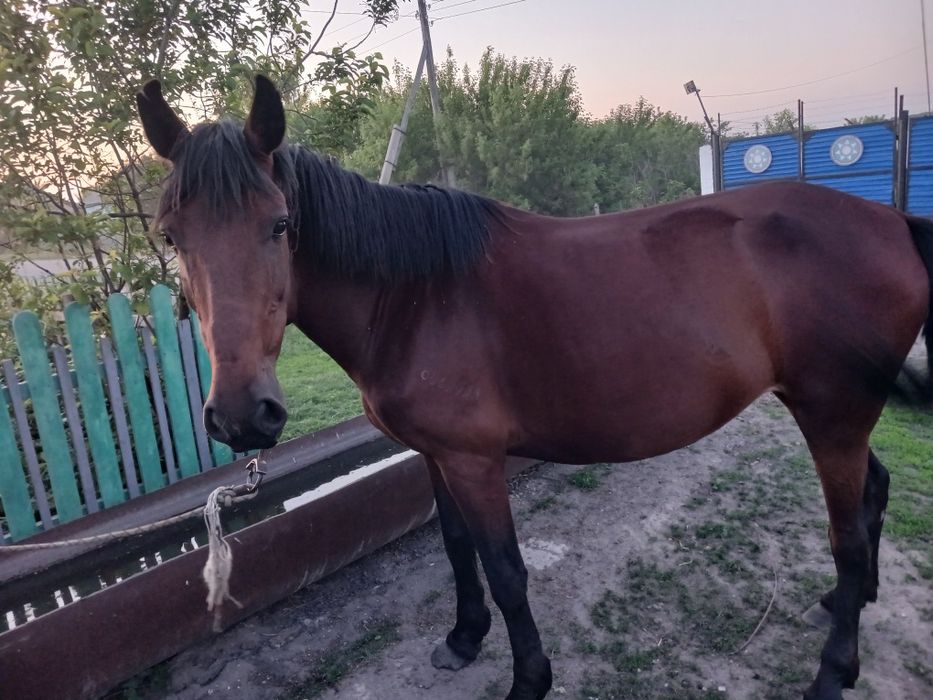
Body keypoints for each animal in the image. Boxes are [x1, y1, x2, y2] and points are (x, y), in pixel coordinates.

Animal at [136, 75, 933, 700]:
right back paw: (841, 611)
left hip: (832, 413)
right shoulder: (434, 455)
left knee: (847, 537)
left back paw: (832, 671)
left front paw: (527, 680)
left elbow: (506, 568)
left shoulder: (476, 461)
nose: (243, 416)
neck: (414, 296)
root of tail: (890, 219)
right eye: (171, 237)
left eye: (279, 225)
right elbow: (457, 548)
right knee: (871, 497)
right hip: (835, 413)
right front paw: (462, 639)